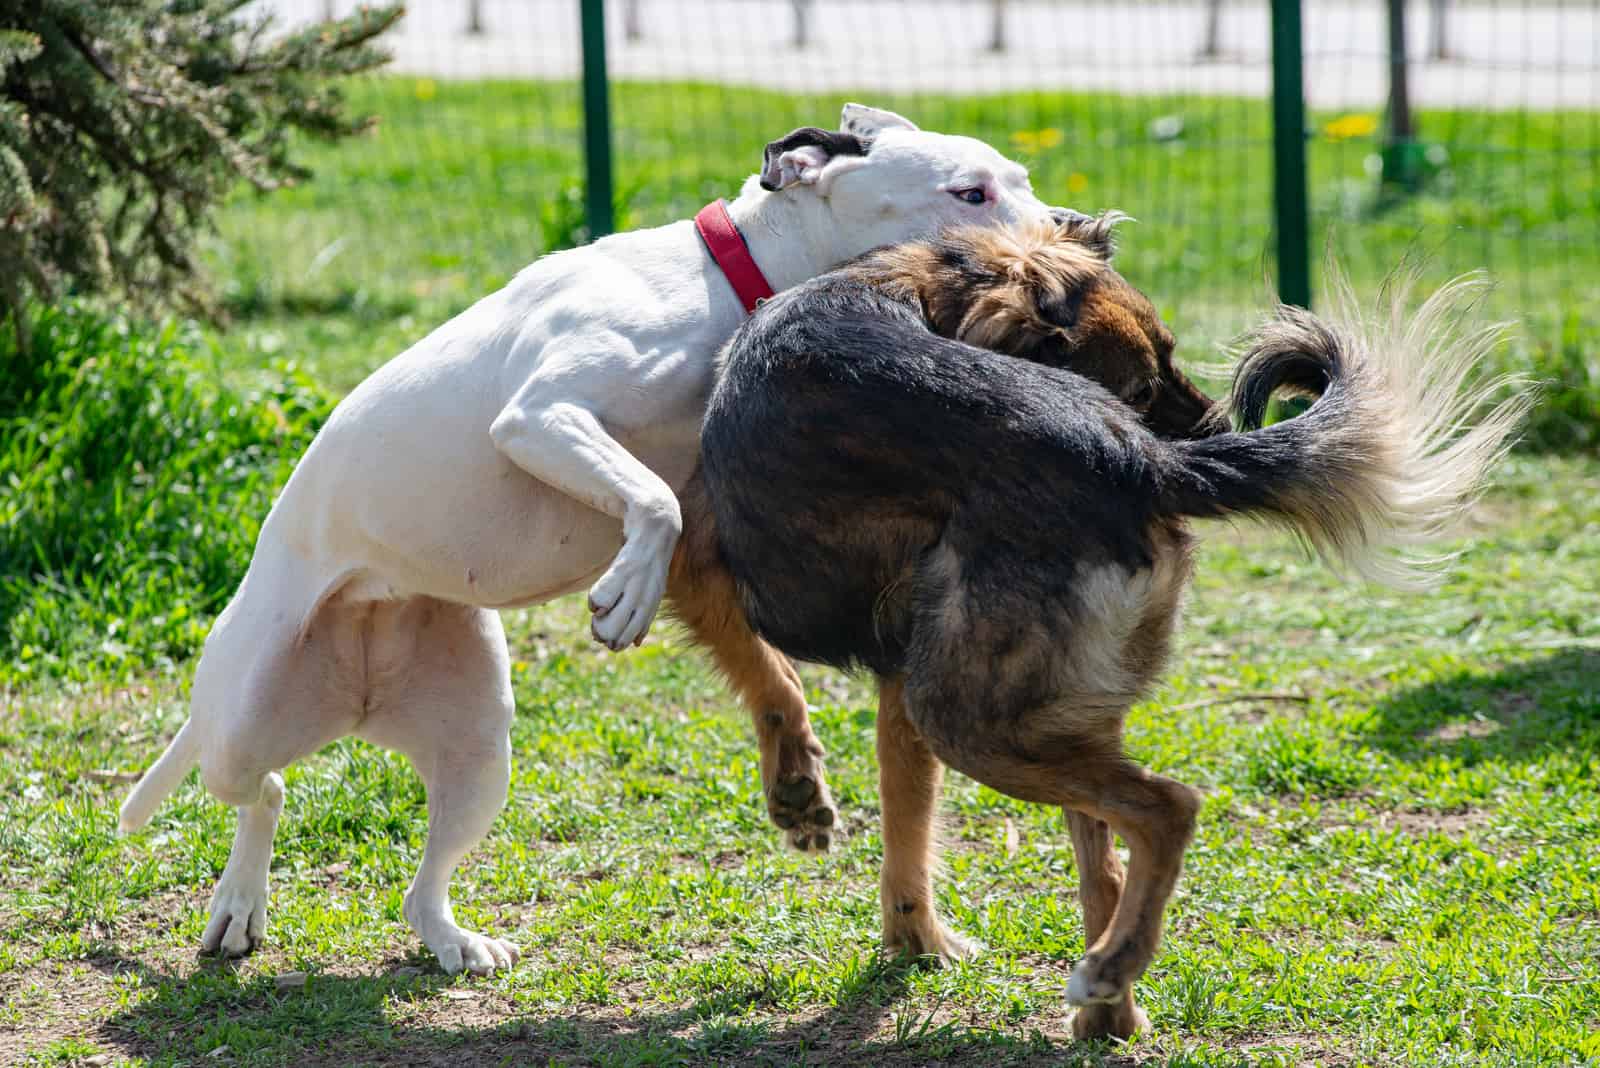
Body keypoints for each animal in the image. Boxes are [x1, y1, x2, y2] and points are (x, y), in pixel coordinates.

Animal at [118, 106, 1068, 978]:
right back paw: (240, 903)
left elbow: (751, 639)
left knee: (408, 875)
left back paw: (448, 941)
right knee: (264, 787)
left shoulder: (698, 529)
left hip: (478, 753)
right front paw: (624, 598)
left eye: (1021, 180)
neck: (728, 279)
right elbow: (652, 502)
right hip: (240, 726)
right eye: (971, 193)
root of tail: (358, 681)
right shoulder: (542, 415)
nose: (1071, 227)